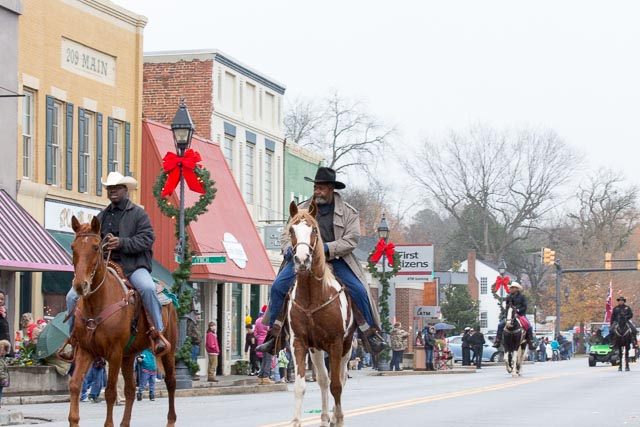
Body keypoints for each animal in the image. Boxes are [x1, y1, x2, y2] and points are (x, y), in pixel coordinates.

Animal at [67, 217, 178, 427]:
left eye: (96, 247)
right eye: (73, 247)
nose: (79, 285)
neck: (97, 303)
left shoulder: (114, 353)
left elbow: (110, 392)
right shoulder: (86, 350)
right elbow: (75, 385)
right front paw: (73, 419)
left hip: (168, 350)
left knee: (171, 382)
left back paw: (170, 420)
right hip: (129, 355)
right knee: (131, 389)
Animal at [288, 201, 358, 427]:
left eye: (314, 230)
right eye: (291, 229)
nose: (302, 260)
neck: (313, 296)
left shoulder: (336, 343)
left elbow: (337, 385)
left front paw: (339, 418)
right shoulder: (299, 342)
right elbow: (301, 386)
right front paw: (296, 421)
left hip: (346, 346)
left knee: (340, 379)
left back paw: (336, 416)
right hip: (316, 349)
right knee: (323, 379)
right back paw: (325, 417)